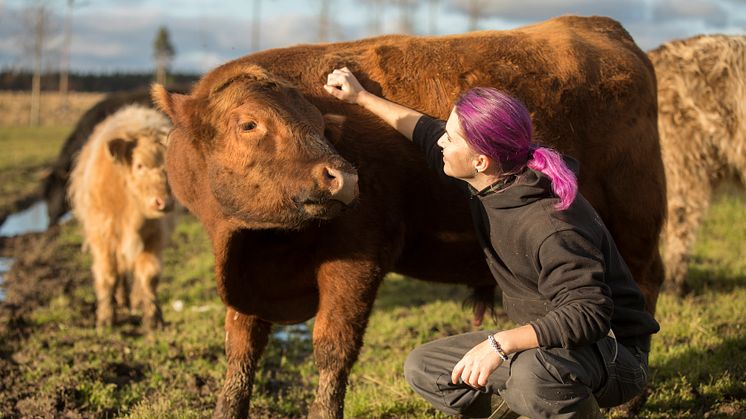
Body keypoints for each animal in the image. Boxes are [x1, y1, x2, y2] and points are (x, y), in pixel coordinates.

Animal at [68, 105, 174, 332]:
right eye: (140, 165)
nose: (163, 202)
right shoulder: (102, 237)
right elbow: (108, 275)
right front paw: (105, 319)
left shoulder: (154, 237)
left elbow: (149, 276)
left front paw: (153, 319)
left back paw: (134, 301)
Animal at [153, 15, 664, 419]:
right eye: (248, 123)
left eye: (320, 126)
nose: (344, 177)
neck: (263, 248)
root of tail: (597, 26)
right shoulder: (246, 272)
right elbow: (241, 350)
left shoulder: (358, 257)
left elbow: (332, 348)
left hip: (636, 220)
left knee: (644, 287)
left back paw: (628, 403)